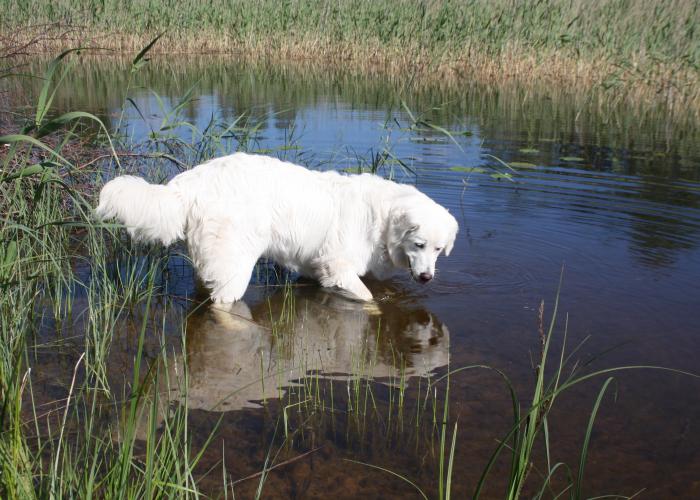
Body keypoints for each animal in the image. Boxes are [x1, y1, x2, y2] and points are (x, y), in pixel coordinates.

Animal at [98, 151, 460, 300]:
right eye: (419, 245)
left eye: (439, 249)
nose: (426, 278)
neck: (381, 219)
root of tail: (191, 181)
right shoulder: (338, 266)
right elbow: (369, 299)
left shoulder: (317, 269)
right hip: (234, 265)